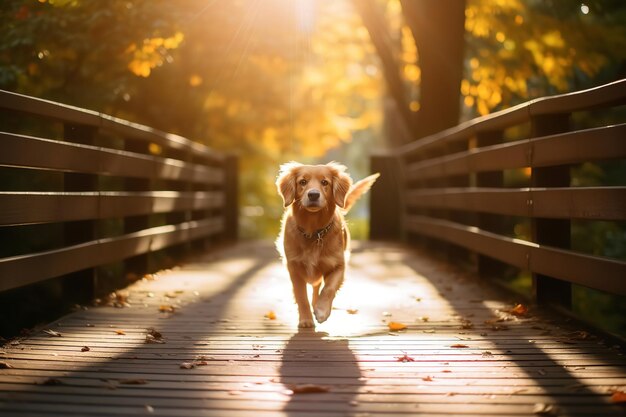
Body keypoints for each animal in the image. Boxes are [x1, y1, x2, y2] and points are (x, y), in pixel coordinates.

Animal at [274, 161, 380, 326]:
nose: (313, 194)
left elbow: (329, 288)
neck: (313, 232)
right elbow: (301, 295)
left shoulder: (338, 265)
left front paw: (322, 310)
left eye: (325, 182)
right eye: (302, 182)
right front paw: (306, 319)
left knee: (318, 287)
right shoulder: (294, 268)